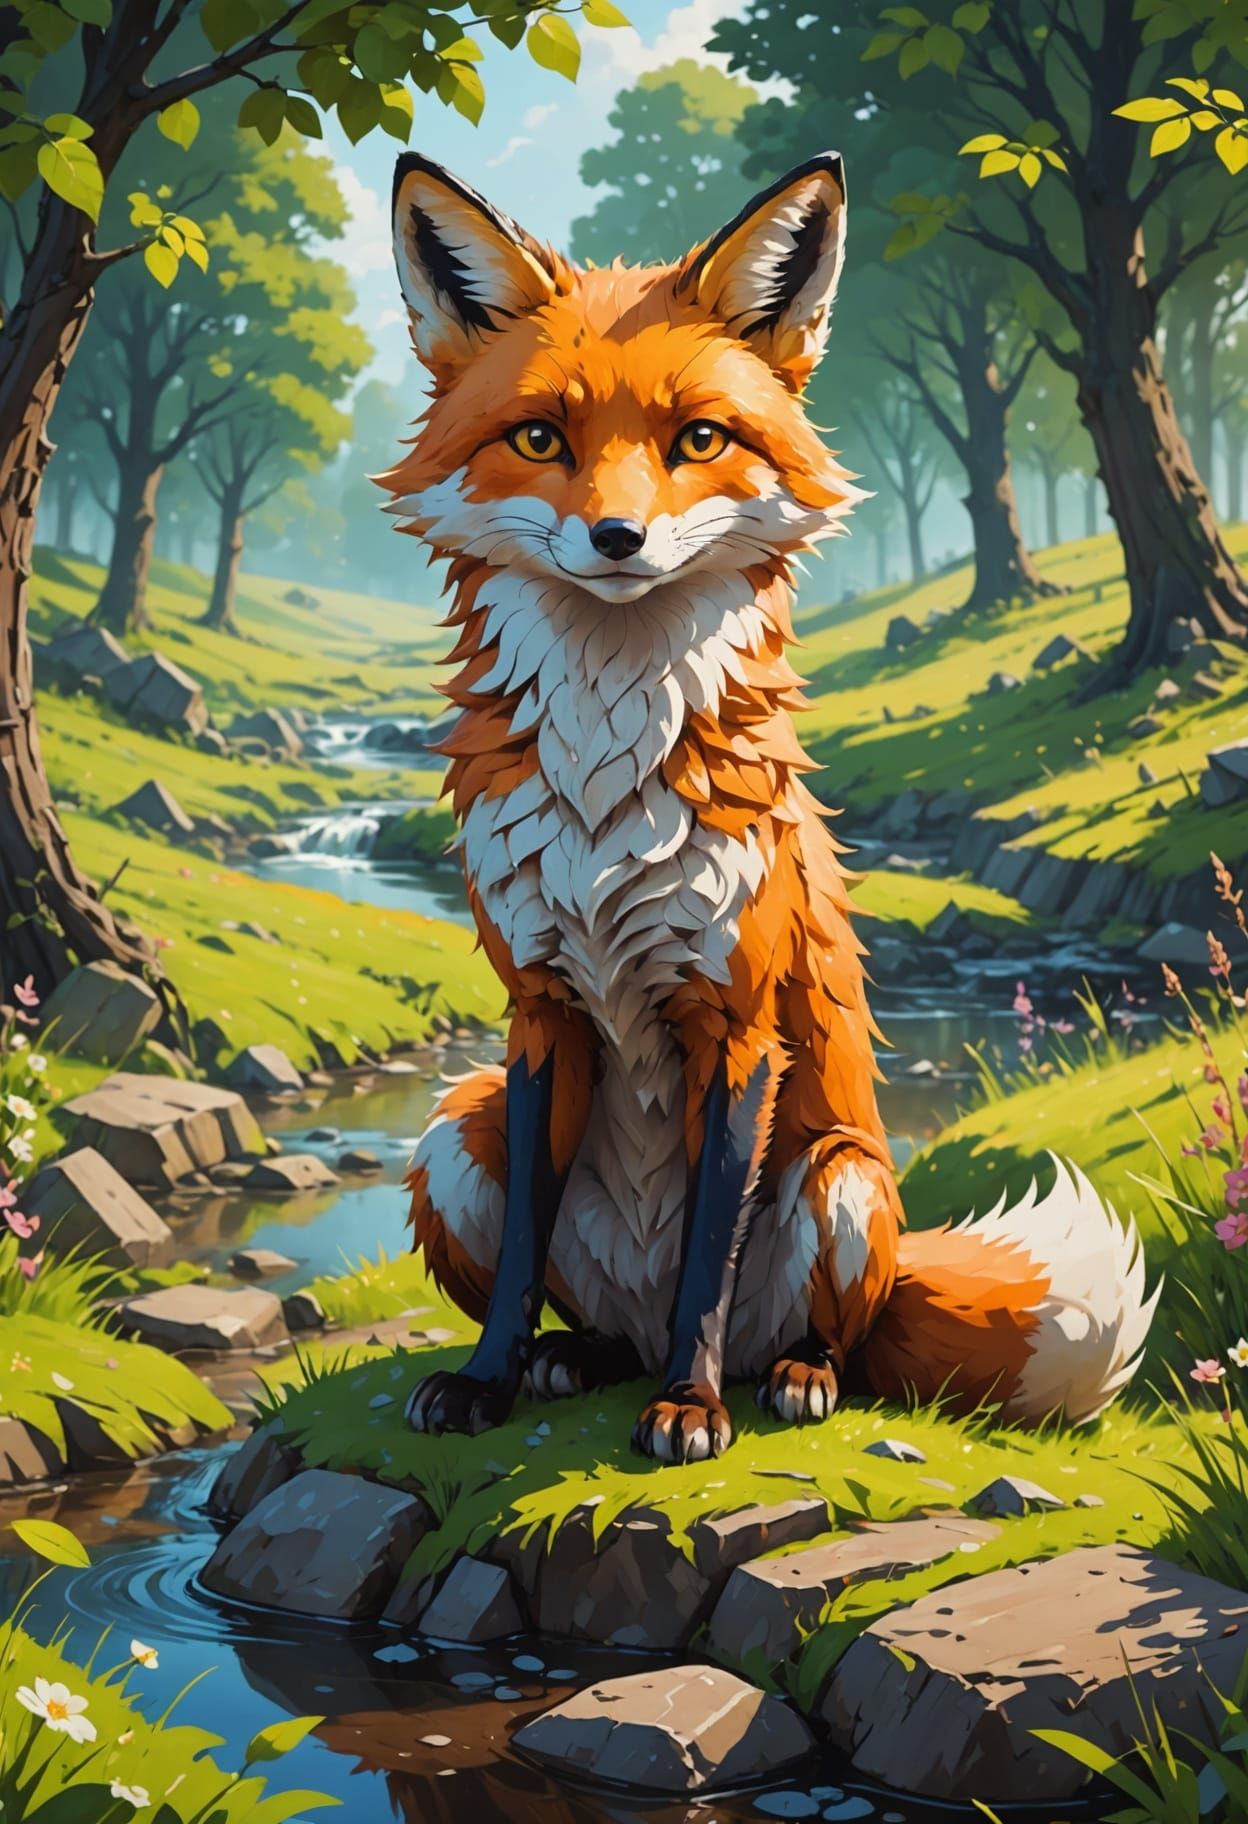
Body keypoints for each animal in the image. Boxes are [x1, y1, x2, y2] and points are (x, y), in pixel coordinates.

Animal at [380, 149, 1158, 1463]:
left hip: (843, 1178)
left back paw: (785, 1377)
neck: (605, 794)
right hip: (453, 1129)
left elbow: (711, 1246)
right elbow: (525, 1245)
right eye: (540, 436)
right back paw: (570, 1361)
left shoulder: (737, 1025)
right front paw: (485, 1380)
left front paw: (689, 1410)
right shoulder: (537, 1009)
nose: (618, 537)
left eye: (698, 438)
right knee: (582, 1304)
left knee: (821, 1332)